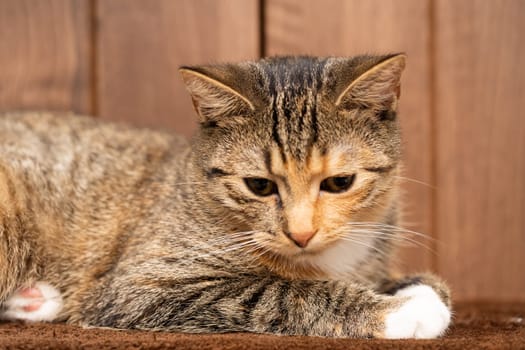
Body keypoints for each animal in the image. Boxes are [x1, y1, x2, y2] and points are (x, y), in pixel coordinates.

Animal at [0, 55, 450, 340]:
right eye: (259, 186)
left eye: (339, 182)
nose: (301, 234)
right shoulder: (138, 286)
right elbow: (278, 291)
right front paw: (400, 311)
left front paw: (417, 289)